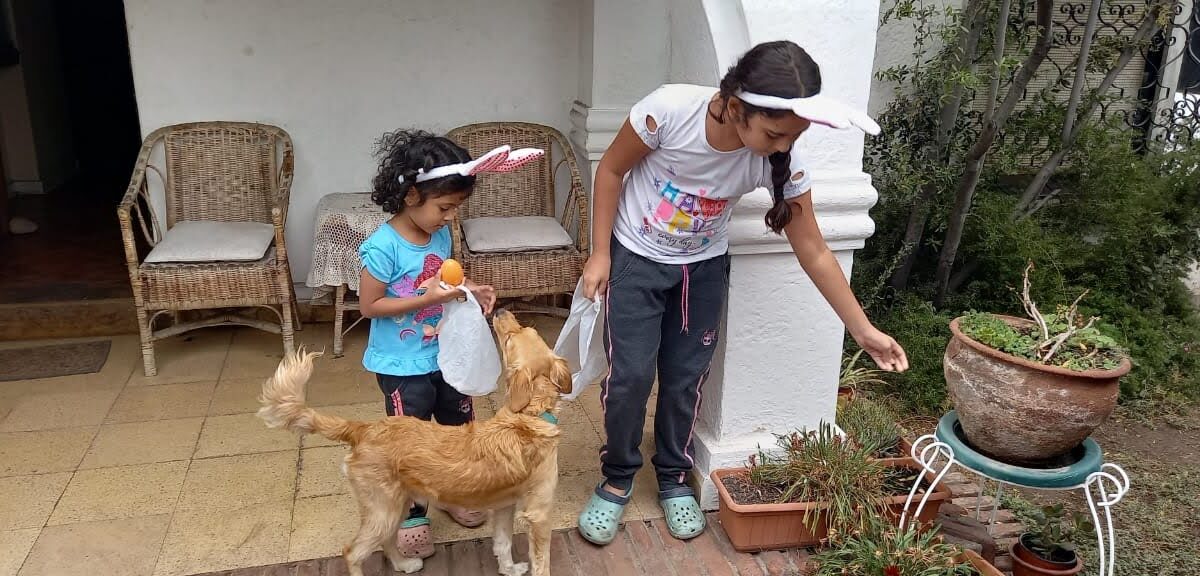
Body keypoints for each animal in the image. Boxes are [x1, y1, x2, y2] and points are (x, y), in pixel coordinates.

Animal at [260, 309, 568, 576]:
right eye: (510, 339)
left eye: (524, 332)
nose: (500, 310)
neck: (530, 415)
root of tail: (363, 428)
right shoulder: (539, 514)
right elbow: (542, 562)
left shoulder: (505, 505)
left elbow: (503, 544)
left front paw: (509, 569)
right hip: (383, 511)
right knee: (352, 552)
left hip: (397, 505)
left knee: (386, 543)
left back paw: (405, 564)